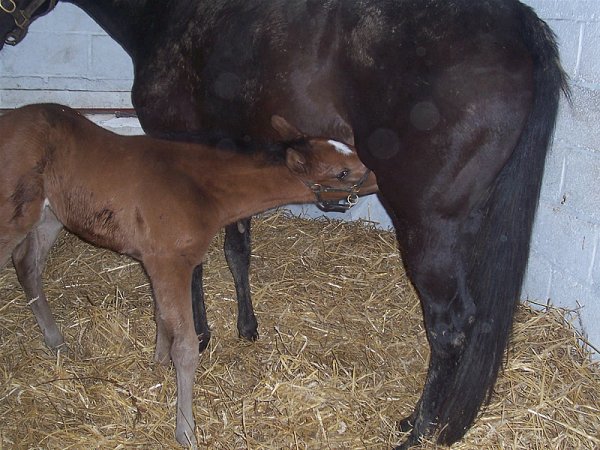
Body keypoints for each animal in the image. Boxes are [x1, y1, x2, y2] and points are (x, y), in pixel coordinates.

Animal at [0, 104, 376, 446]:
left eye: (351, 148)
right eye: (342, 172)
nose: (378, 174)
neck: (201, 189)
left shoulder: (158, 265)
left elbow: (162, 318)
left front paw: (155, 366)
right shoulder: (171, 264)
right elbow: (186, 346)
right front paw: (186, 431)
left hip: (50, 215)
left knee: (27, 265)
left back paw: (57, 342)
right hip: (14, 216)